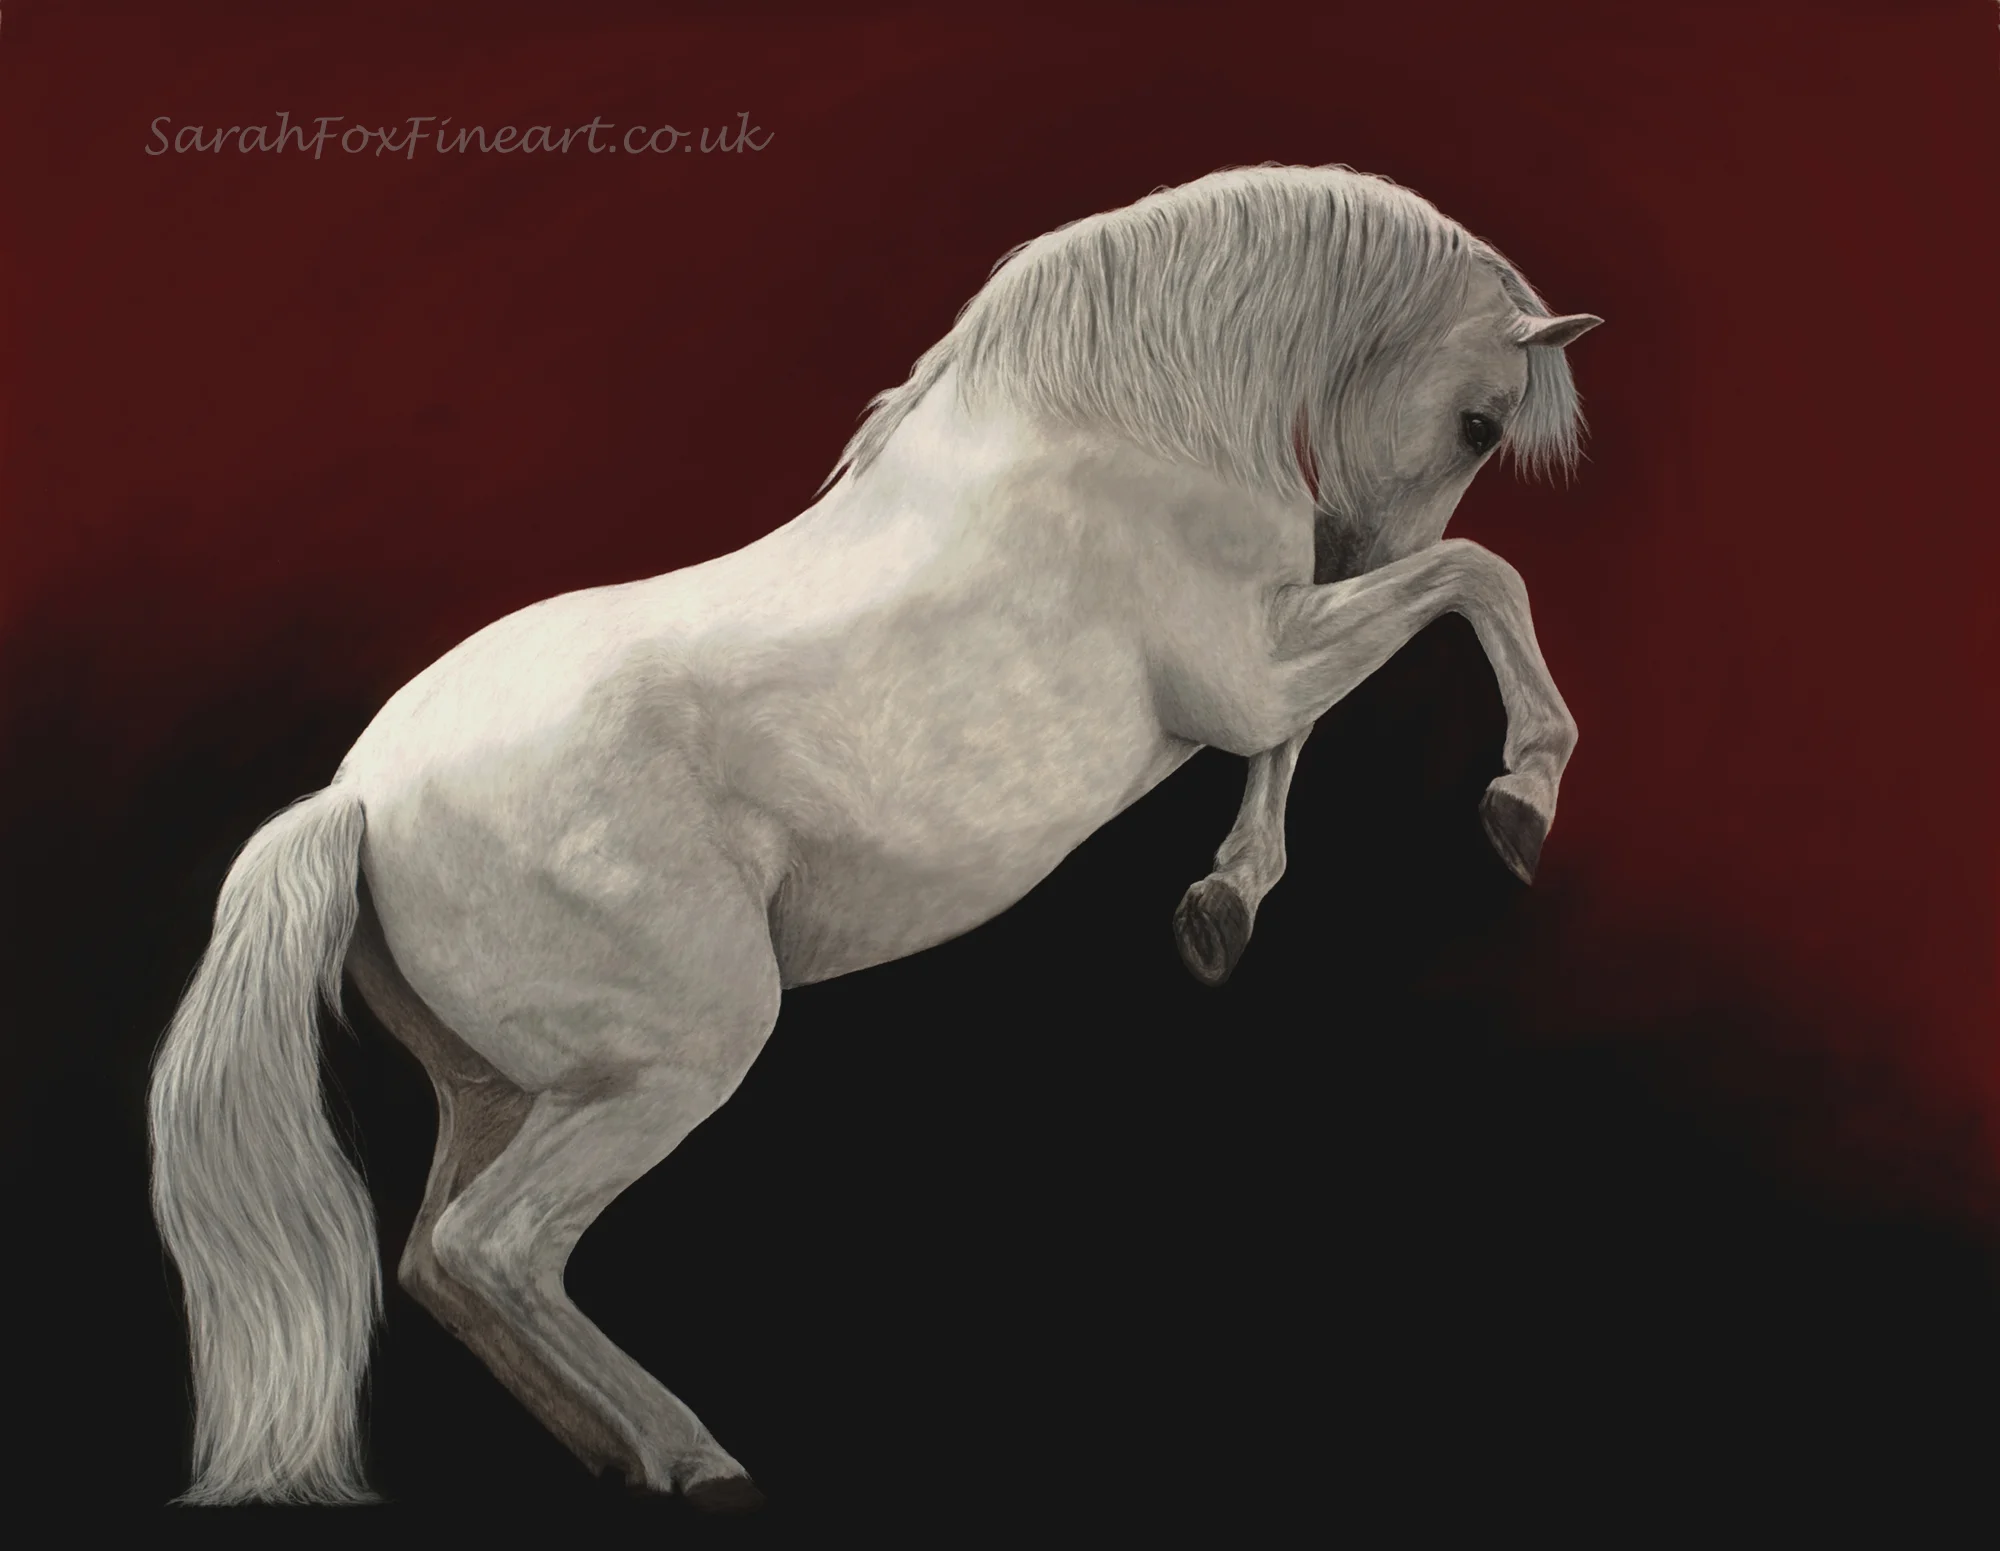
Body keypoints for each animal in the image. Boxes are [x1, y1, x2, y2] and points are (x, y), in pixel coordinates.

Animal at [147, 163, 1601, 1509]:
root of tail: (358, 800)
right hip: (667, 1066)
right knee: (493, 1245)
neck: (1129, 435)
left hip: (505, 1086)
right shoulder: (1251, 669)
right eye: (1478, 420)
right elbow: (1474, 583)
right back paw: (693, 1455)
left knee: (434, 1256)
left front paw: (1222, 906)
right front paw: (1519, 798)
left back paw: (613, 1449)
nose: (1353, 543)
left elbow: (1323, 714)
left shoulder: (1263, 667)